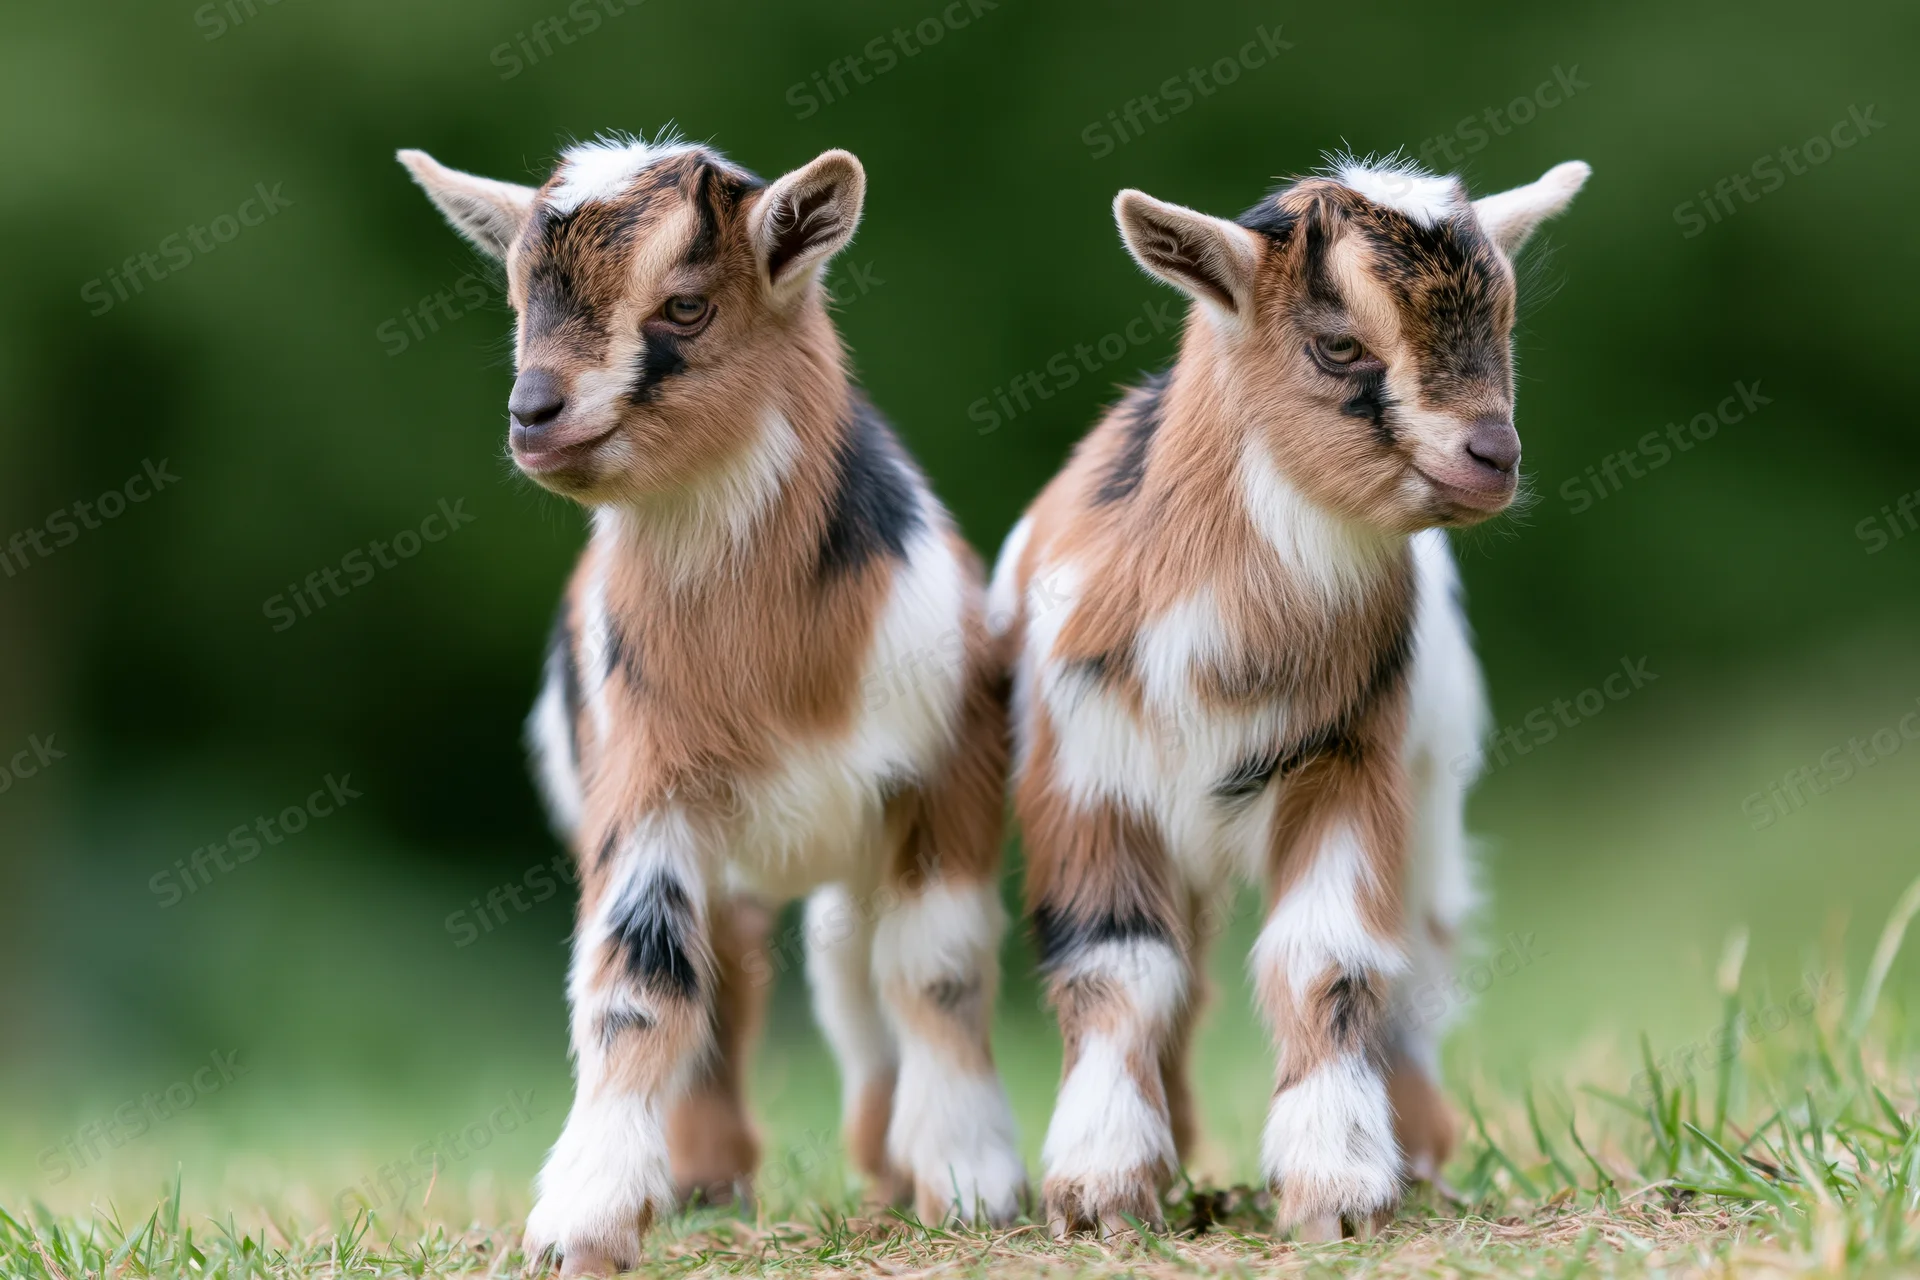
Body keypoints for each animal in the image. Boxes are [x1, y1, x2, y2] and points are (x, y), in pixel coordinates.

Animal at [398, 135, 1025, 1275]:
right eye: (516, 297)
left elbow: (937, 969)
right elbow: (640, 982)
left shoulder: (944, 777)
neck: (777, 671)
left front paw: (970, 1181)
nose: (533, 413)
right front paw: (585, 1217)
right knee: (728, 972)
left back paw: (884, 1167)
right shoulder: (640, 783)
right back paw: (709, 1179)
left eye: (686, 306)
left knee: (850, 973)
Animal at [988, 156, 1589, 1239]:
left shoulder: (1349, 761)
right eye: (1338, 343)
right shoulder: (1085, 776)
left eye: (1508, 321)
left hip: (1429, 803)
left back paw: (1416, 1150)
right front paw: (1100, 1186)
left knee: (1419, 959)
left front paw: (1336, 1184)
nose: (1494, 455)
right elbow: (1117, 964)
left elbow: (1328, 956)